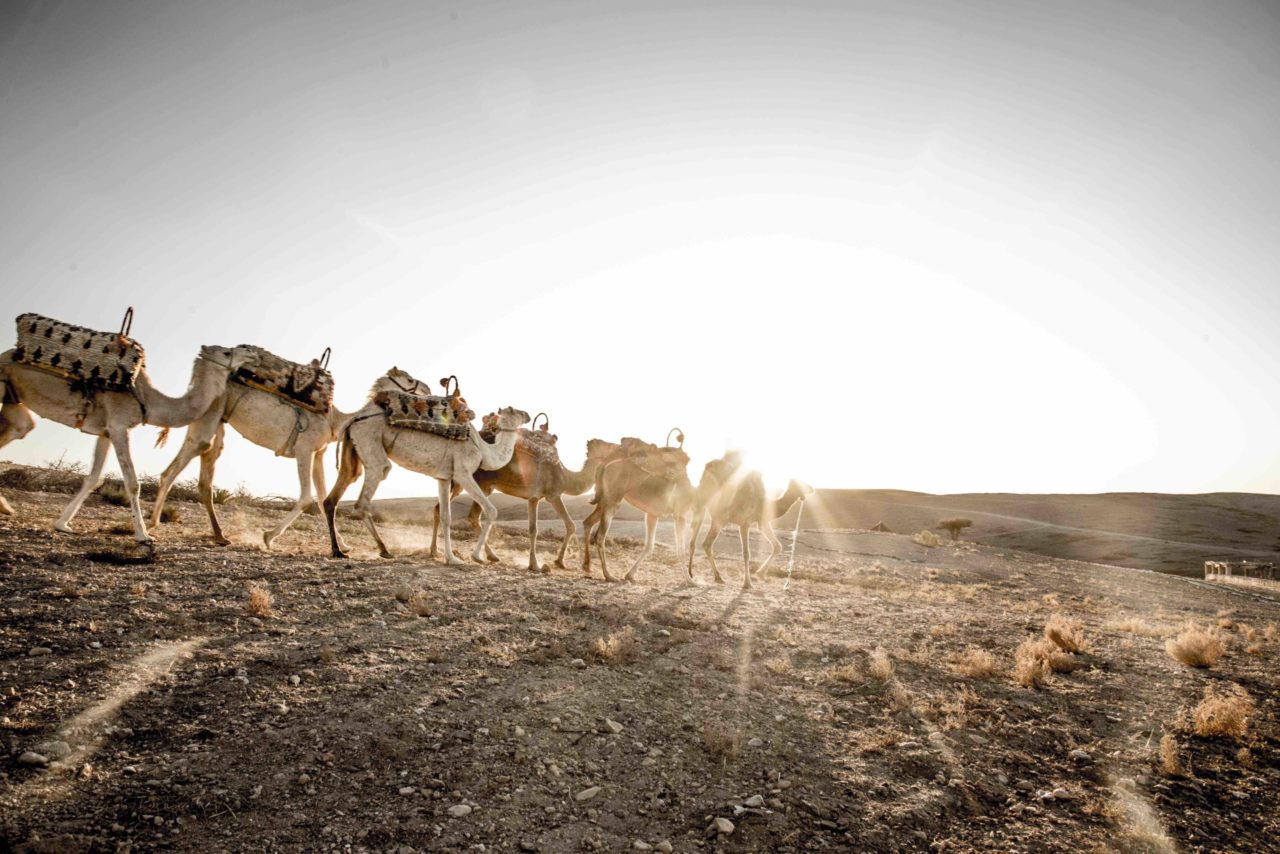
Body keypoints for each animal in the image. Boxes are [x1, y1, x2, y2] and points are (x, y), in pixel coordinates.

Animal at [0, 344, 260, 542]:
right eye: (226, 352)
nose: (251, 351)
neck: (149, 400)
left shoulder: (105, 432)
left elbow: (94, 478)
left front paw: (62, 524)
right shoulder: (119, 426)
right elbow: (132, 483)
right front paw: (143, 535)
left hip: (15, 400)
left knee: (20, 428)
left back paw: (6, 507)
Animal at [323, 377, 529, 563]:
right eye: (515, 410)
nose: (527, 414)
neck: (484, 450)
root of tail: (355, 418)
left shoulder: (444, 477)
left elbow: (446, 516)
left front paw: (451, 558)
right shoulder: (463, 473)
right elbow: (491, 510)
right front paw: (477, 557)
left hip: (353, 449)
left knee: (335, 495)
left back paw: (339, 550)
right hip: (370, 444)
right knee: (365, 499)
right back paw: (383, 550)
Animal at [429, 436, 623, 572]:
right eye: (607, 444)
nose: (620, 445)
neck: (566, 476)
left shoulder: (533, 498)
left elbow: (533, 529)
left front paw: (536, 564)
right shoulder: (553, 495)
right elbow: (569, 525)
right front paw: (555, 562)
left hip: (474, 485)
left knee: (447, 510)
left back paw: (438, 552)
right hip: (473, 481)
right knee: (467, 514)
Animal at [581, 441, 695, 583]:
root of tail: (604, 464)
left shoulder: (652, 514)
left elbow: (649, 545)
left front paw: (630, 575)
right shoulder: (680, 514)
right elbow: (680, 549)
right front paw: (691, 581)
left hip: (604, 500)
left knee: (588, 522)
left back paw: (586, 566)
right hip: (613, 499)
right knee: (600, 536)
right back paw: (608, 575)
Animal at [686, 451, 813, 590]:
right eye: (801, 483)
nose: (812, 488)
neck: (764, 502)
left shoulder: (762, 521)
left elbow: (777, 546)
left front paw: (760, 574)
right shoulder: (745, 522)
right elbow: (747, 553)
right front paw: (748, 583)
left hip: (703, 506)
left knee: (696, 541)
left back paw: (697, 574)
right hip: (721, 515)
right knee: (706, 543)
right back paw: (715, 577)